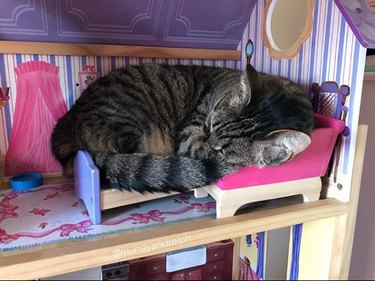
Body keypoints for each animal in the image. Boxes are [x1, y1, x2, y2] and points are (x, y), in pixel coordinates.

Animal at [50, 61, 314, 192]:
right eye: (209, 126)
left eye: (223, 150)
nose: (209, 142)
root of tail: (68, 119)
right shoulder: (192, 128)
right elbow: (193, 144)